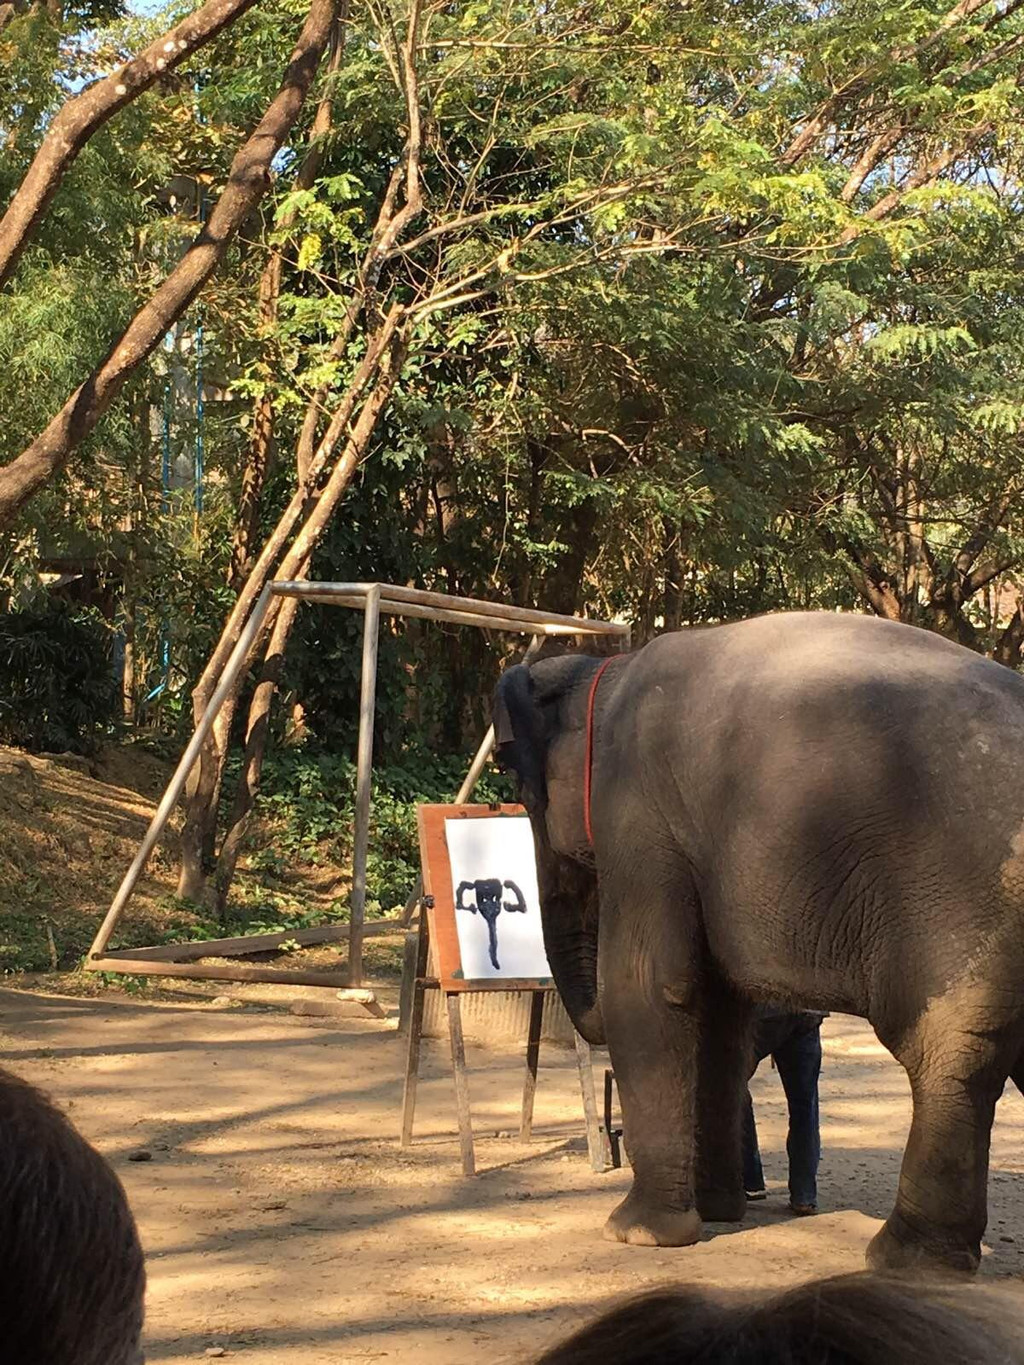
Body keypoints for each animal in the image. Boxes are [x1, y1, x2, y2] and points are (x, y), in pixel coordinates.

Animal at [496, 614, 1024, 1272]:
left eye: (517, 785)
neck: (604, 671)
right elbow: (721, 1010)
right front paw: (720, 1213)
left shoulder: (638, 814)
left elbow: (649, 984)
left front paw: (638, 1234)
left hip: (958, 895)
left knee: (948, 1052)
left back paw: (903, 1259)